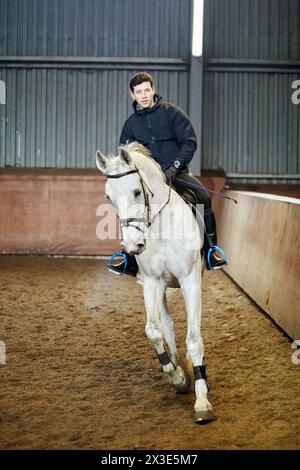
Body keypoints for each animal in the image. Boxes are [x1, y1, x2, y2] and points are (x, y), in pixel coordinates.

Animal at [96, 142, 213, 422]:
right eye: (109, 197)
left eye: (137, 191)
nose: (132, 245)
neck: (161, 228)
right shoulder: (152, 282)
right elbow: (153, 331)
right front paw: (177, 376)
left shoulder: (190, 281)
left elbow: (194, 339)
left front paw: (202, 401)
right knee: (167, 327)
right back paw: (179, 367)